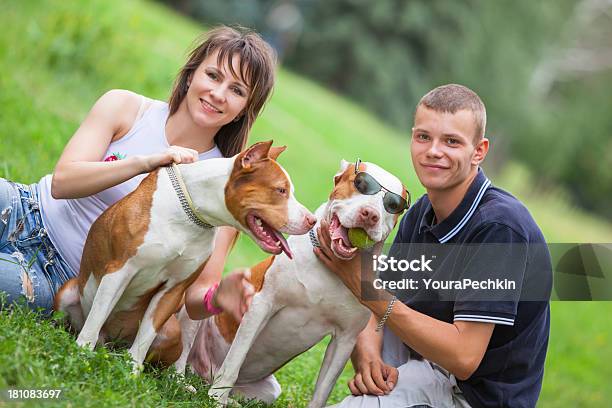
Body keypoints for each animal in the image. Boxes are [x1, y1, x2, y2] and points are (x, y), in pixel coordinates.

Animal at [53, 141, 316, 372]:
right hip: (67, 292)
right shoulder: (119, 271)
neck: (192, 216)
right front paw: (81, 353)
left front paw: (132, 370)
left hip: (171, 331)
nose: (312, 220)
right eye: (280, 190)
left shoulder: (173, 289)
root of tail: (107, 341)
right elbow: (97, 315)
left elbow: (146, 335)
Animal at [186, 161, 406, 406]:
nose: (370, 214)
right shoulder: (262, 305)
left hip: (268, 391)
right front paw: (216, 398)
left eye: (393, 206)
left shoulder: (345, 339)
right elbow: (236, 358)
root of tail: (203, 373)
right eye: (359, 184)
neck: (330, 269)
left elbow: (322, 391)